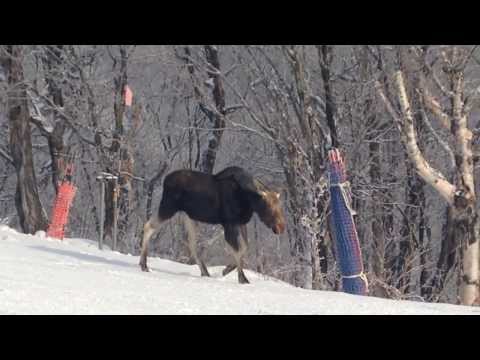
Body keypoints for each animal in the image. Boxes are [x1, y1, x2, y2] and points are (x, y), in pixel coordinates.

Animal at [139, 166, 284, 284]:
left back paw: (204, 271)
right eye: (268, 207)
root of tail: (165, 180)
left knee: (192, 244)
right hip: (168, 207)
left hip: (188, 216)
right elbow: (238, 250)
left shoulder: (240, 223)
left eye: (280, 207)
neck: (247, 200)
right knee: (148, 226)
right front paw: (242, 278)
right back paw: (144, 265)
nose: (281, 227)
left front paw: (227, 269)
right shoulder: (229, 223)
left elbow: (244, 248)